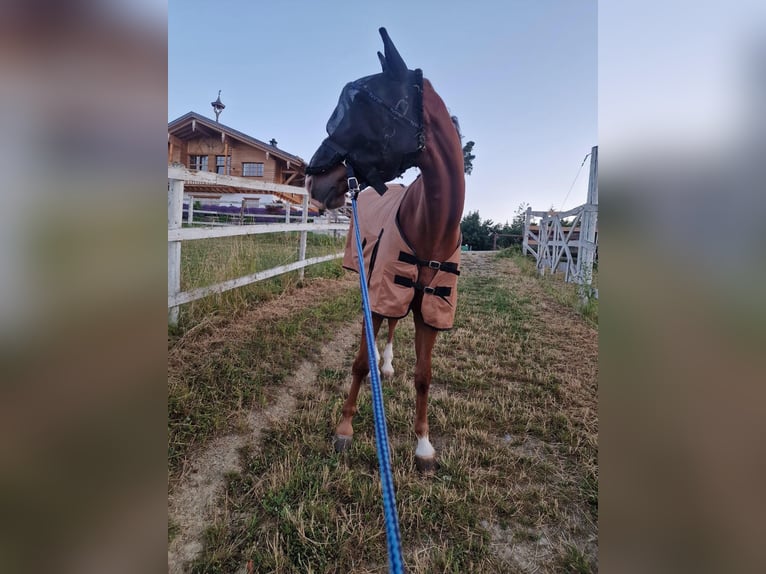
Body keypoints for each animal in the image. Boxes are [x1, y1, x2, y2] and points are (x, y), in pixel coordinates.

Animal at [305, 28, 465, 472]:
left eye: (363, 104)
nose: (313, 180)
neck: (431, 229)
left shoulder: (430, 312)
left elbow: (424, 376)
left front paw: (424, 446)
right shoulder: (376, 295)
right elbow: (360, 363)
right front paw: (344, 429)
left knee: (394, 328)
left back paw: (388, 362)